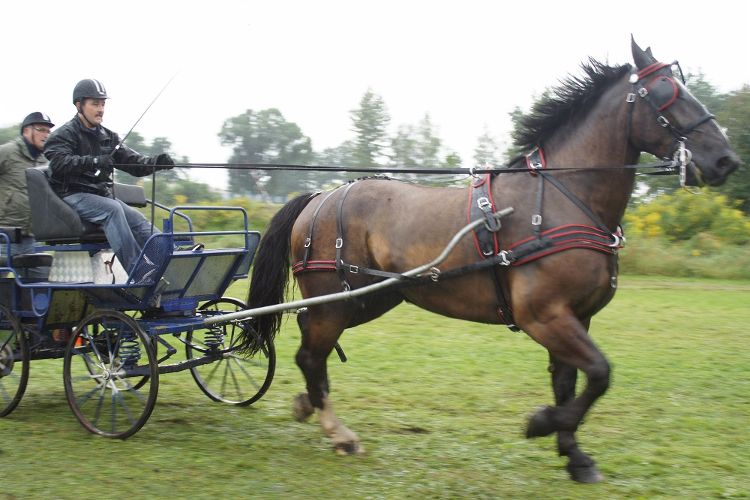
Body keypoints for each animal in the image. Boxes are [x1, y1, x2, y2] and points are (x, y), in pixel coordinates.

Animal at [239, 40, 740, 484]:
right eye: (667, 94)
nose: (726, 160)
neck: (562, 199)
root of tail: (320, 197)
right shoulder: (545, 316)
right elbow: (599, 374)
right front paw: (543, 423)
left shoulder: (575, 317)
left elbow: (569, 382)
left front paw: (574, 454)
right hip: (338, 300)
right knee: (310, 353)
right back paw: (338, 431)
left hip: (369, 298)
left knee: (312, 346)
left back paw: (309, 405)